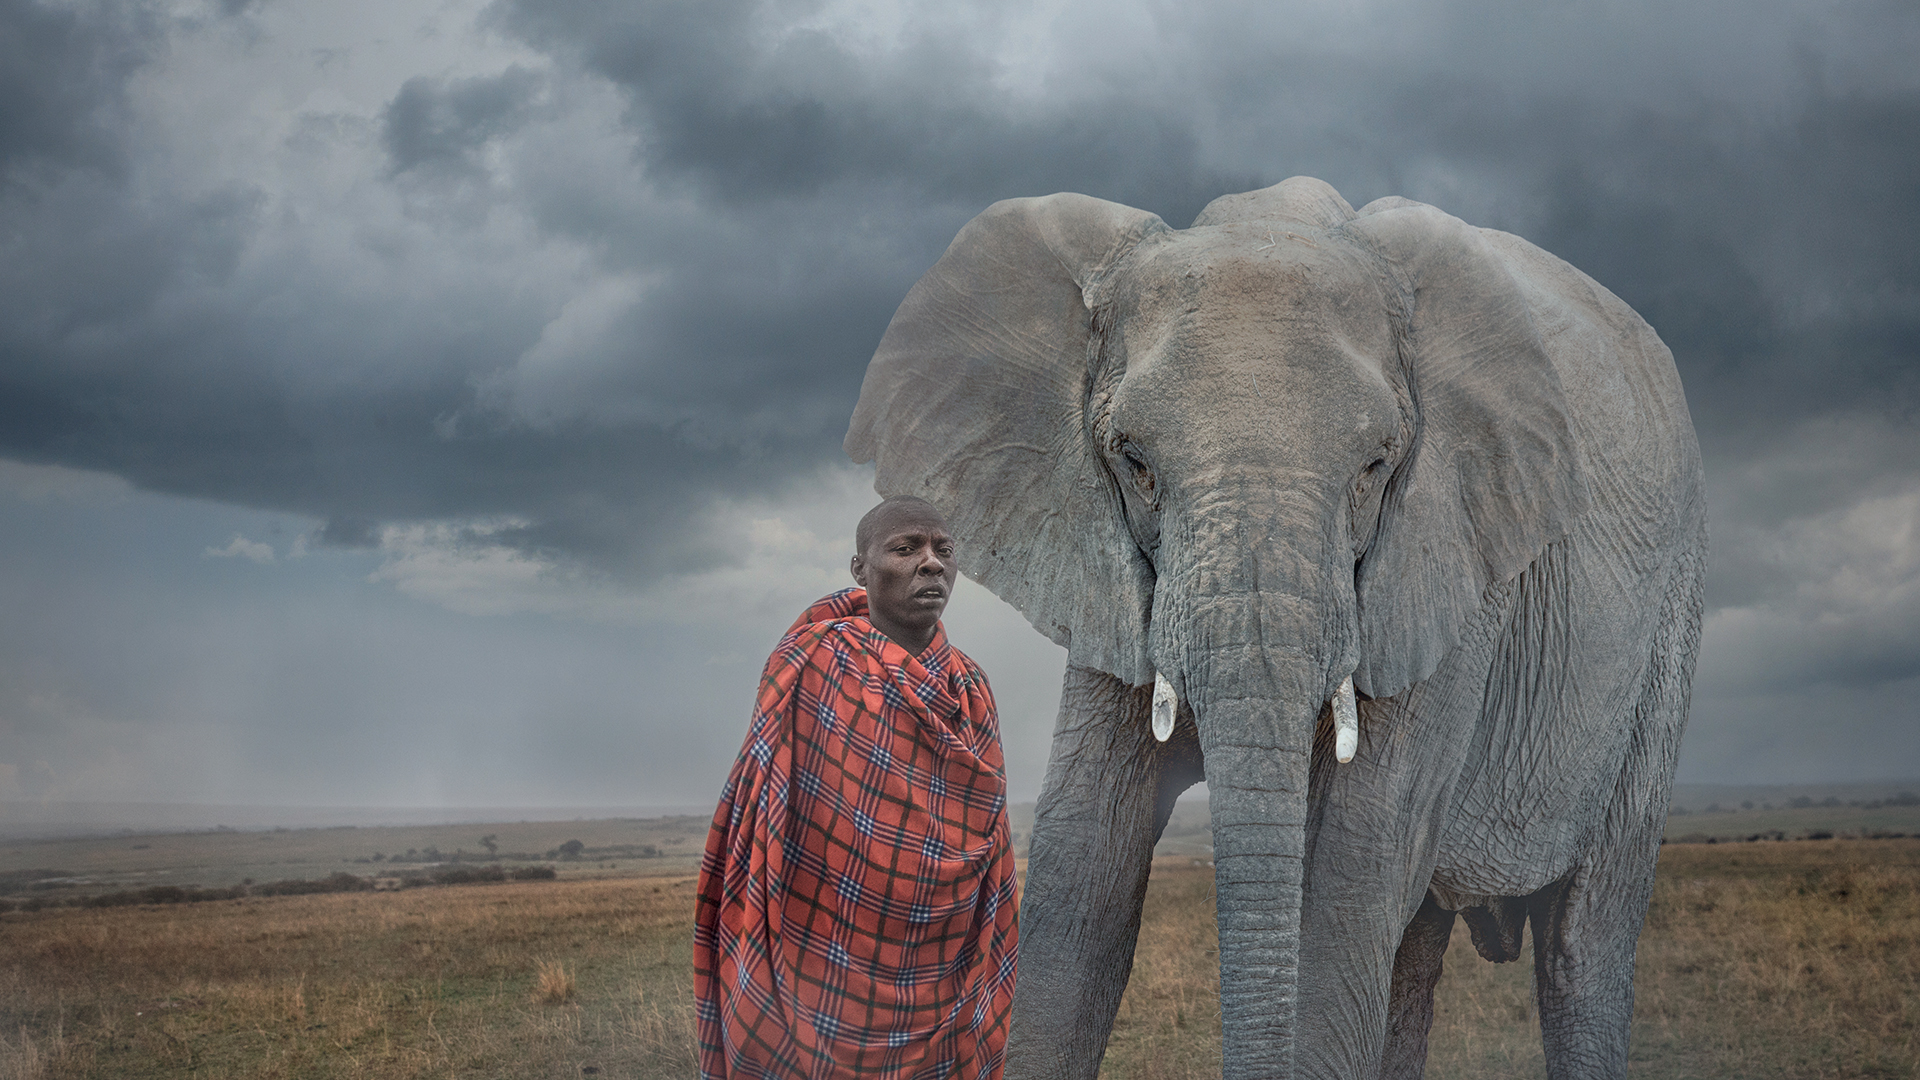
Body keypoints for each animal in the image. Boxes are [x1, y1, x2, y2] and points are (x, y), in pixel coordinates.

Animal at [848, 178, 1704, 1076]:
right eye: (1133, 462)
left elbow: (1354, 863)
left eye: (1376, 467)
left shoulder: (1456, 559)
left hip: (1668, 624)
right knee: (1416, 948)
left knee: (1583, 941)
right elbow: (1084, 854)